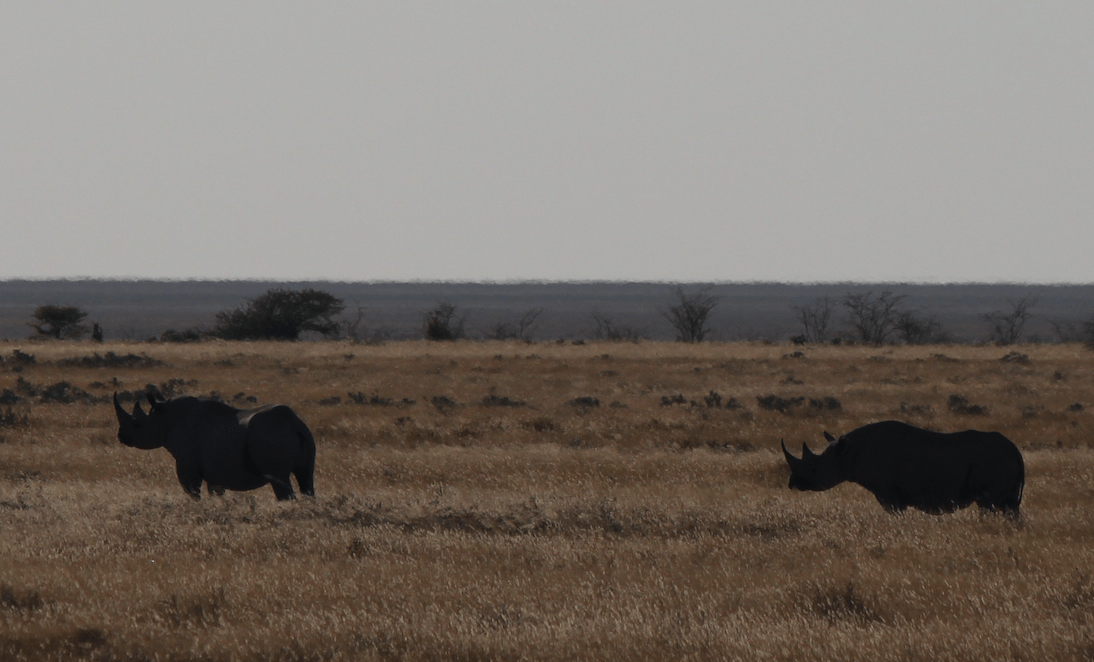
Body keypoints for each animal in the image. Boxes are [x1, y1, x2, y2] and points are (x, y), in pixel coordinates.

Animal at [113, 392, 316, 501]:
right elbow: (216, 492)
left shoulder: (187, 464)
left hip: (270, 435)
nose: (121, 437)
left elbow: (192, 491)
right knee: (306, 479)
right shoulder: (215, 470)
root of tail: (295, 424)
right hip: (303, 436)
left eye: (137, 425)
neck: (165, 418)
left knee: (280, 480)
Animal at [781, 420, 1024, 515]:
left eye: (814, 469)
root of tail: (1016, 451)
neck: (846, 454)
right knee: (1010, 508)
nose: (792, 483)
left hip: (993, 463)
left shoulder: (888, 494)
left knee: (989, 506)